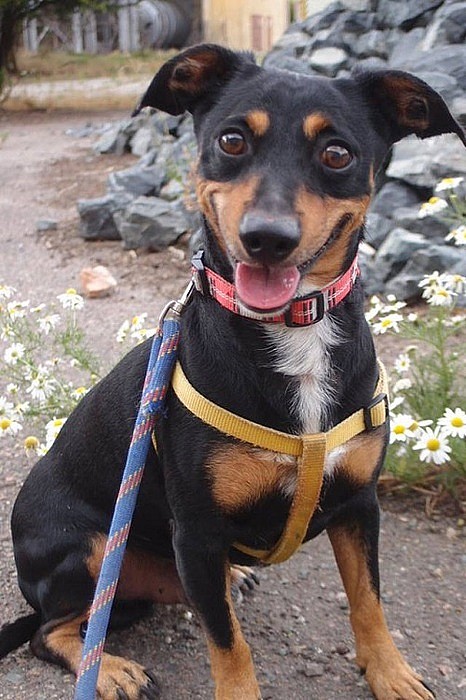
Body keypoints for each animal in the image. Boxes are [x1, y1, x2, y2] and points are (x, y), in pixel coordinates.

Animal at [1, 43, 465, 700]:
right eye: (232, 140)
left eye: (337, 154)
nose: (267, 238)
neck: (295, 329)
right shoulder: (196, 534)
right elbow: (228, 643)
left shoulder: (359, 504)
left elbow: (369, 602)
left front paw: (391, 673)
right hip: (87, 548)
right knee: (53, 632)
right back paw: (112, 669)